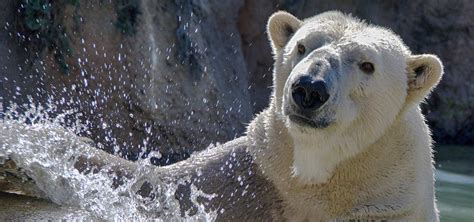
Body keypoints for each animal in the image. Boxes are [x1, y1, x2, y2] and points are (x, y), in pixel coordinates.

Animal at [0, 10, 444, 220]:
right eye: (302, 46)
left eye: (367, 65)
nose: (309, 89)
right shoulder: (254, 174)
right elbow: (153, 185)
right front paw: (22, 156)